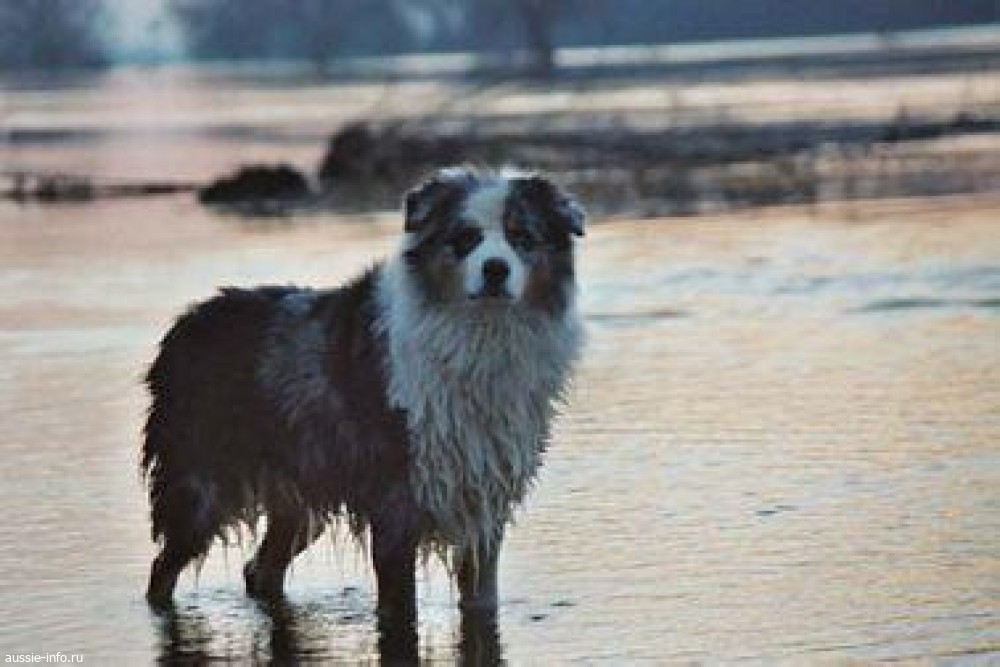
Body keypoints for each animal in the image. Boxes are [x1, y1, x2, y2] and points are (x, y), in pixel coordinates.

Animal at [141, 167, 585, 618]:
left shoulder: (481, 500)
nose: (496, 270)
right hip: (201, 485)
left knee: (260, 569)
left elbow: (481, 601)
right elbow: (399, 605)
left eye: (522, 236)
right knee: (163, 569)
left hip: (301, 493)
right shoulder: (397, 501)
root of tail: (186, 322)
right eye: (464, 238)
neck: (479, 334)